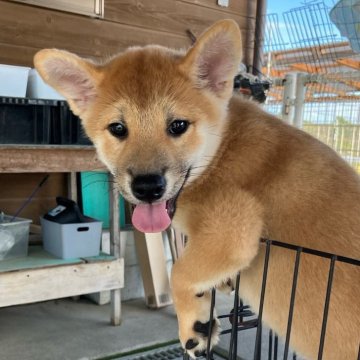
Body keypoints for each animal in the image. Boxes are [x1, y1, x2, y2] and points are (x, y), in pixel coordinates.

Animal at [34, 20, 360, 360]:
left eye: (178, 126)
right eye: (118, 129)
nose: (147, 187)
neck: (223, 148)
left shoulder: (235, 228)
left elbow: (178, 272)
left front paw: (194, 326)